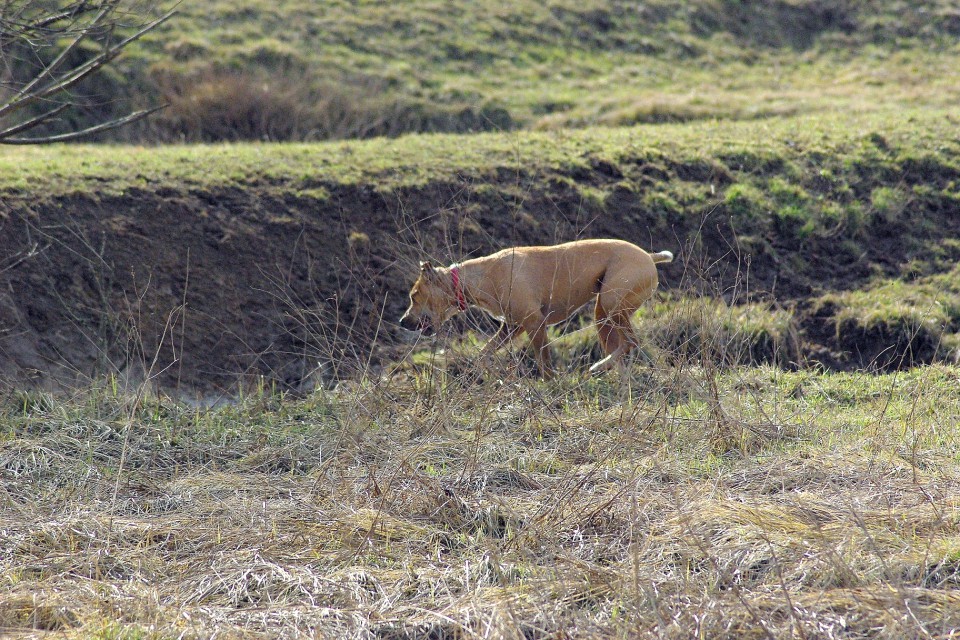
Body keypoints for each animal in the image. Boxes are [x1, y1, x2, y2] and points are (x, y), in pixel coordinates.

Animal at [398, 240, 676, 376]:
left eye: (414, 296)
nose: (402, 322)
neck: (478, 277)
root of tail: (648, 256)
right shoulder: (511, 327)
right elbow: (484, 355)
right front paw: (497, 375)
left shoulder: (535, 324)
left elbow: (544, 364)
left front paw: (550, 384)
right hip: (603, 316)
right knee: (622, 349)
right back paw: (613, 375)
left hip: (611, 306)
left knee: (631, 342)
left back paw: (599, 367)